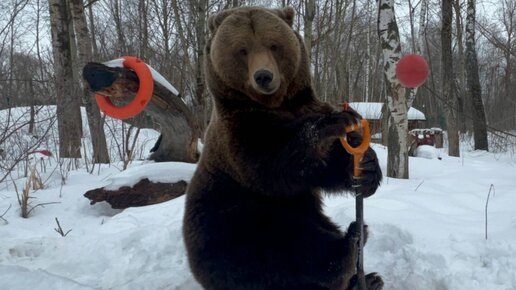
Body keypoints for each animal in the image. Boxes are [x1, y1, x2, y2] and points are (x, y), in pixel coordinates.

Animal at [182, 6, 382, 290]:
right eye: (242, 49)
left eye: (273, 44)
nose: (264, 76)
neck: (276, 105)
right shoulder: (242, 134)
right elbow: (275, 164)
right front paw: (335, 121)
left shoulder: (303, 108)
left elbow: (324, 168)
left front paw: (366, 168)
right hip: (240, 222)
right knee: (296, 248)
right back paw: (351, 243)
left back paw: (368, 275)